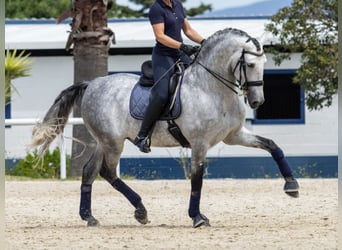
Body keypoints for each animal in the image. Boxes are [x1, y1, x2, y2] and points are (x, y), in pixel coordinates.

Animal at [31, 28, 300, 228]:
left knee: (90, 171)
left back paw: (90, 216)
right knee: (107, 171)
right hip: (112, 142)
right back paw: (140, 210)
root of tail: (91, 83)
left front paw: (291, 185)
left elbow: (273, 146)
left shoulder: (234, 136)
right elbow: (197, 179)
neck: (211, 88)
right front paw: (197, 217)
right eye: (250, 64)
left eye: (264, 62)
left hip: (102, 142)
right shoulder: (200, 143)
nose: (257, 101)